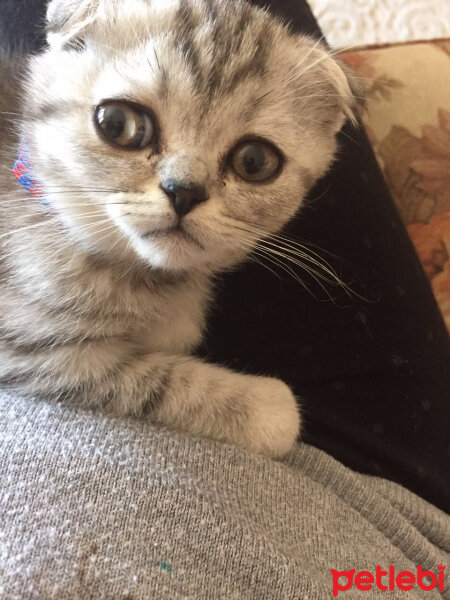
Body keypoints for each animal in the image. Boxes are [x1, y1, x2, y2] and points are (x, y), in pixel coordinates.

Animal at [0, 0, 360, 458]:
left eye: (255, 161)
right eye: (117, 123)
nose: (184, 192)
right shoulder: (34, 352)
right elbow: (157, 381)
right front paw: (270, 409)